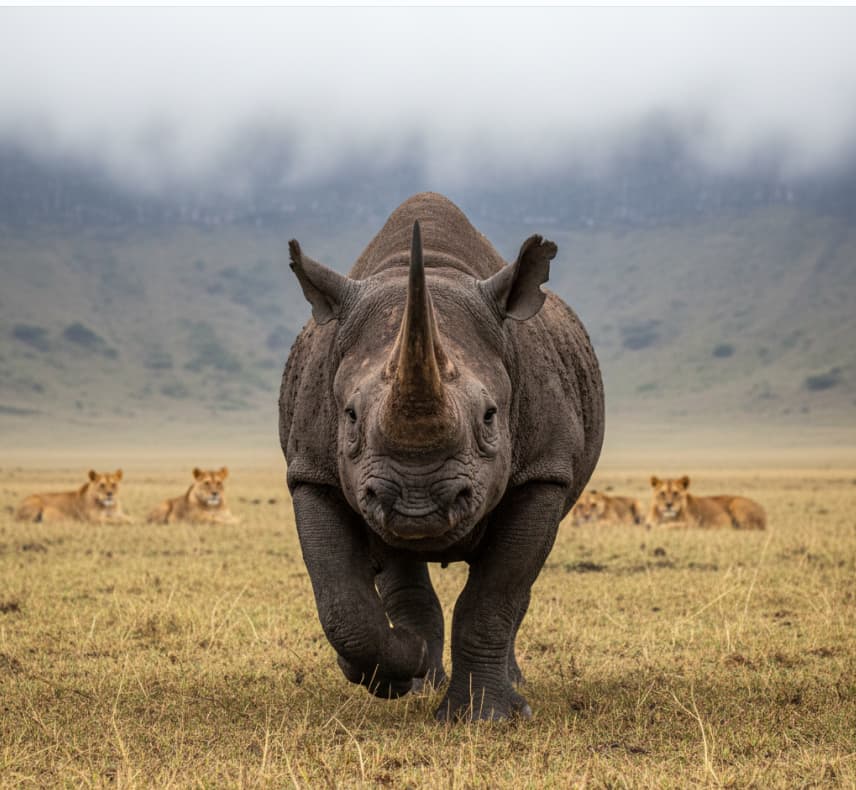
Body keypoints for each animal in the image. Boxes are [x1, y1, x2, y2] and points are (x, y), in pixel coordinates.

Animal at [279, 192, 603, 720]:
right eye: (349, 416)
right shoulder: (313, 472)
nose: (418, 504)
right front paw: (393, 666)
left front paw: (485, 718)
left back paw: (506, 684)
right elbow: (342, 603)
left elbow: (495, 594)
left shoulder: (543, 472)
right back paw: (417, 677)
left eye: (491, 417)